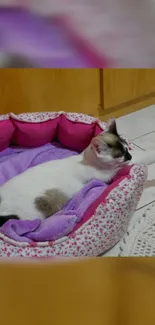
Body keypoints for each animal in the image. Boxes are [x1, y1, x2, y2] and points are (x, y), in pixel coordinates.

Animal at [0, 116, 154, 225]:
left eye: (127, 149)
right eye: (120, 155)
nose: (129, 156)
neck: (85, 160)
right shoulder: (108, 174)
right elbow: (141, 158)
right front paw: (148, 155)